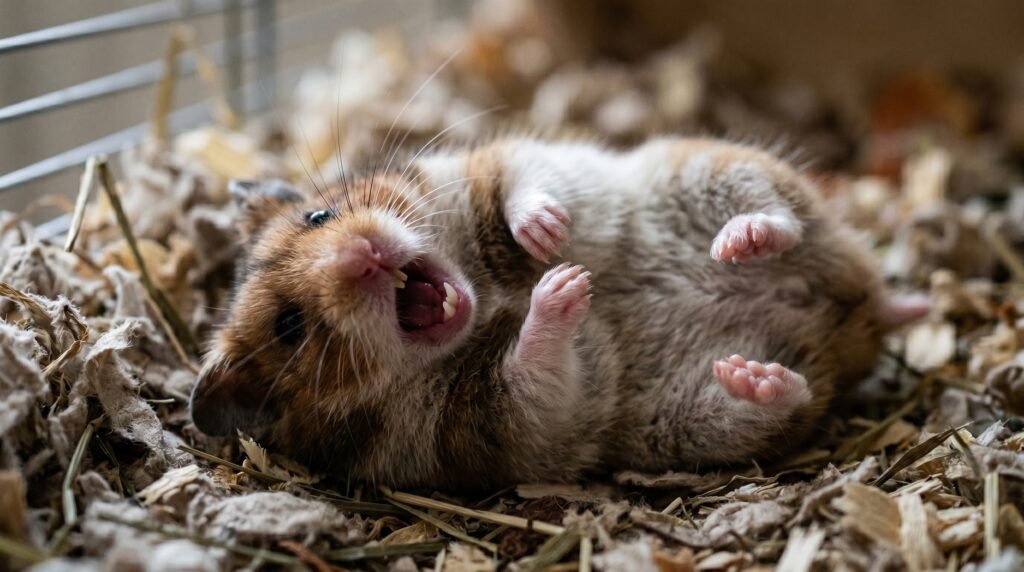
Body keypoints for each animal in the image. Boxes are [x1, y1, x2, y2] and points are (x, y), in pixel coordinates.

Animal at [189, 137, 927, 490]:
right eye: (289, 328)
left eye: (320, 215)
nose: (364, 257)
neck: (484, 297)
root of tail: (858, 314)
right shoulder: (489, 423)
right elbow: (532, 369)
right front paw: (566, 290)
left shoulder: (495, 163)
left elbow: (526, 184)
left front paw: (547, 241)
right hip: (694, 421)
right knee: (792, 395)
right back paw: (755, 375)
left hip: (705, 168)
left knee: (785, 216)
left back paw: (742, 242)